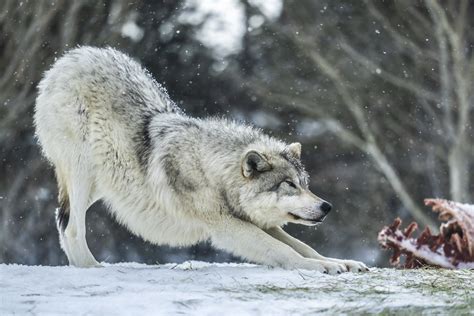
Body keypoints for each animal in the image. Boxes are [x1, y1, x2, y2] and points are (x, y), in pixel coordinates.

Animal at [35, 46, 368, 274]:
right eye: (289, 185)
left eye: (304, 184)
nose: (327, 207)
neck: (212, 171)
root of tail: (70, 57)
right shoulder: (225, 225)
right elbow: (284, 251)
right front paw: (322, 268)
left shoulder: (259, 222)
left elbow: (304, 246)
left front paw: (342, 263)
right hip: (82, 174)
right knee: (71, 227)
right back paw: (91, 267)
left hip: (104, 185)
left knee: (62, 220)